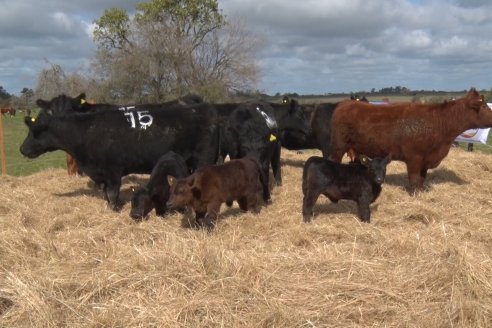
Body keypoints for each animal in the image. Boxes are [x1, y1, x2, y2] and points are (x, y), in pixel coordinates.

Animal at [19, 100, 219, 210]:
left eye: (34, 131)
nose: (22, 149)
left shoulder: (112, 170)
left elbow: (113, 193)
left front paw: (114, 209)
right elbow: (107, 194)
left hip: (204, 158)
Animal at [328, 89, 492, 192]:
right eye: (484, 106)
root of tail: (345, 104)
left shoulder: (425, 159)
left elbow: (421, 178)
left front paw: (421, 191)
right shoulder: (414, 157)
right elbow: (414, 178)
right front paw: (415, 195)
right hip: (338, 147)